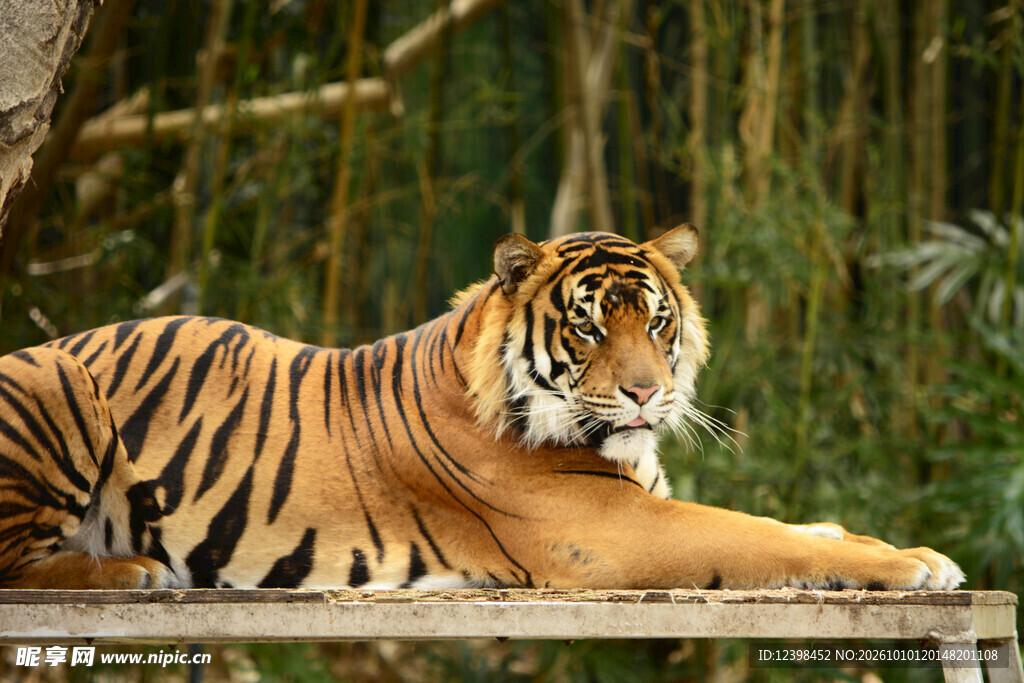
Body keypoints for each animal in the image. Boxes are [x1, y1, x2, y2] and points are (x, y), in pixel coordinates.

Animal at [0, 225, 964, 591]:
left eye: (656, 320)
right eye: (588, 324)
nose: (647, 390)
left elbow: (807, 526)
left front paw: (910, 550)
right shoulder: (609, 527)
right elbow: (764, 535)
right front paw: (914, 564)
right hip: (61, 381)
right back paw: (131, 570)